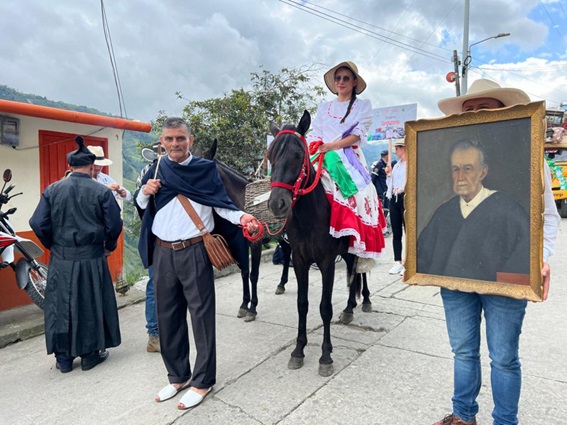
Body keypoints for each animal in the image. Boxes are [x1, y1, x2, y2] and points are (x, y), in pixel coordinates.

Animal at [268, 109, 370, 374]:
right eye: (270, 156)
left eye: (297, 155)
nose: (277, 203)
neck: (309, 216)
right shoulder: (300, 260)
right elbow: (302, 303)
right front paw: (298, 350)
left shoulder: (326, 262)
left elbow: (325, 307)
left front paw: (325, 356)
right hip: (347, 251)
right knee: (353, 272)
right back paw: (349, 308)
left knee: (362, 272)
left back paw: (365, 300)